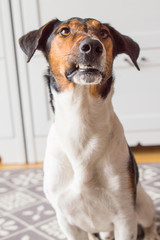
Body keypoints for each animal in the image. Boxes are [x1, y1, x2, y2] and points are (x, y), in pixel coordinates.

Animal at [18, 17, 159, 240]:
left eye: (104, 33)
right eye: (64, 31)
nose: (92, 46)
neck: (81, 121)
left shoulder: (125, 216)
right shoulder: (66, 220)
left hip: (142, 203)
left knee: (149, 222)